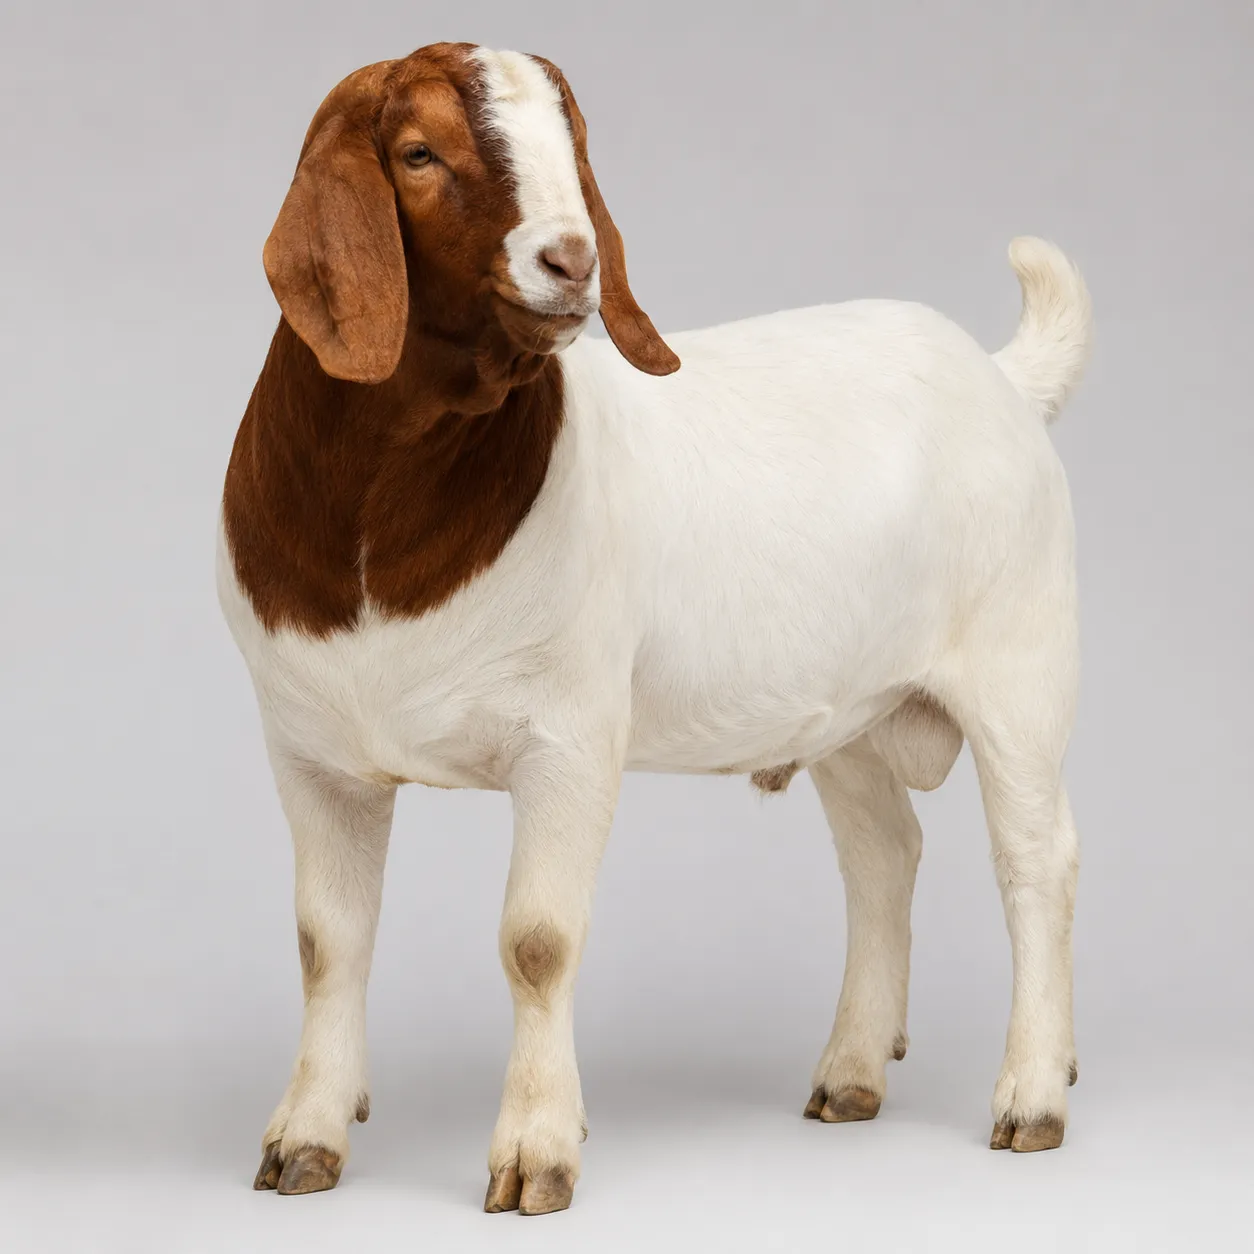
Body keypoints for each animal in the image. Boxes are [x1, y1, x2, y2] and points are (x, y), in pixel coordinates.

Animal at [219, 41, 1091, 1214]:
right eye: (418, 153)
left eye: (572, 149)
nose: (571, 260)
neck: (382, 523)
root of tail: (1001, 378)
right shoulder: (312, 754)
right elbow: (328, 943)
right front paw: (306, 1140)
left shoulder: (570, 738)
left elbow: (537, 942)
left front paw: (535, 1156)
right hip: (853, 715)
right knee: (883, 856)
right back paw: (852, 1075)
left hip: (1019, 669)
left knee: (1037, 859)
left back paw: (1031, 1098)